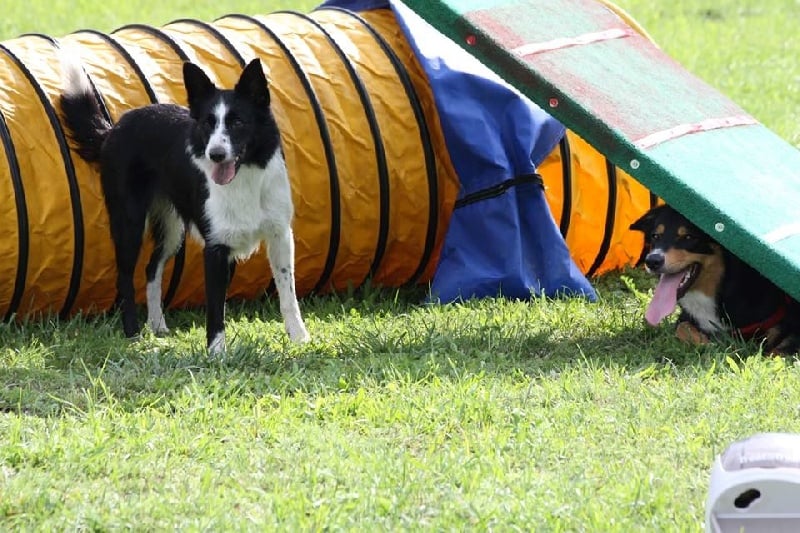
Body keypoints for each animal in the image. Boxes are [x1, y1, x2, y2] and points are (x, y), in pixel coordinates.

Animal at [58, 57, 310, 354]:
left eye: (238, 122)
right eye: (207, 124)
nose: (215, 155)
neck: (245, 178)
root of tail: (113, 130)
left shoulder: (279, 236)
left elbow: (287, 292)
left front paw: (299, 337)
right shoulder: (215, 248)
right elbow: (215, 308)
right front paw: (216, 353)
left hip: (172, 229)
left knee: (152, 268)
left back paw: (157, 326)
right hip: (129, 222)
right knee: (125, 277)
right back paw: (132, 333)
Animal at [632, 205, 800, 354]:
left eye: (688, 237)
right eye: (655, 236)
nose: (652, 261)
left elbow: (777, 349)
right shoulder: (687, 318)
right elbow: (683, 327)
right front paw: (708, 344)